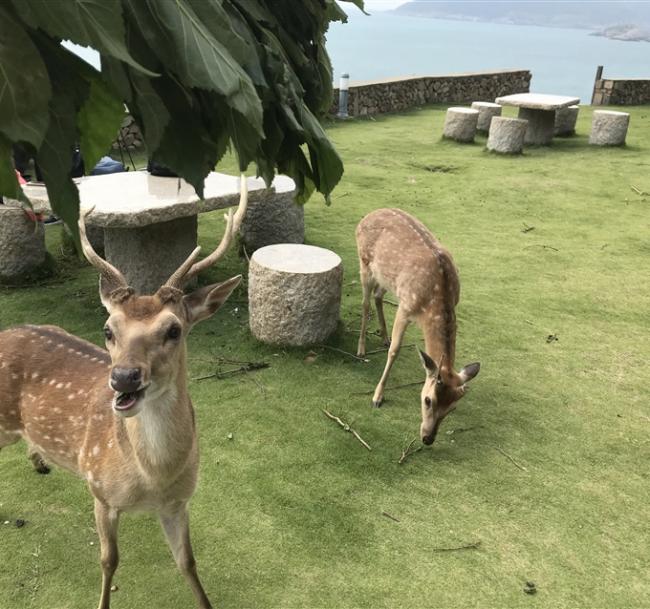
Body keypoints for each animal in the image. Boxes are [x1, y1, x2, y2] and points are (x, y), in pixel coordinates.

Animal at [0, 173, 248, 604]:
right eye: (107, 329)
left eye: (174, 330)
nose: (124, 378)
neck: (152, 478)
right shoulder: (99, 491)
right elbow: (108, 562)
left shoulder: (178, 503)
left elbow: (188, 563)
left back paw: (40, 460)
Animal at [352, 208, 478, 442]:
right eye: (428, 400)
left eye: (451, 408)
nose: (428, 439)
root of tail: (367, 216)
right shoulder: (406, 307)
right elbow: (395, 351)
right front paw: (377, 397)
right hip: (364, 263)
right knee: (365, 303)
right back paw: (361, 348)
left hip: (388, 278)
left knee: (378, 295)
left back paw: (384, 336)